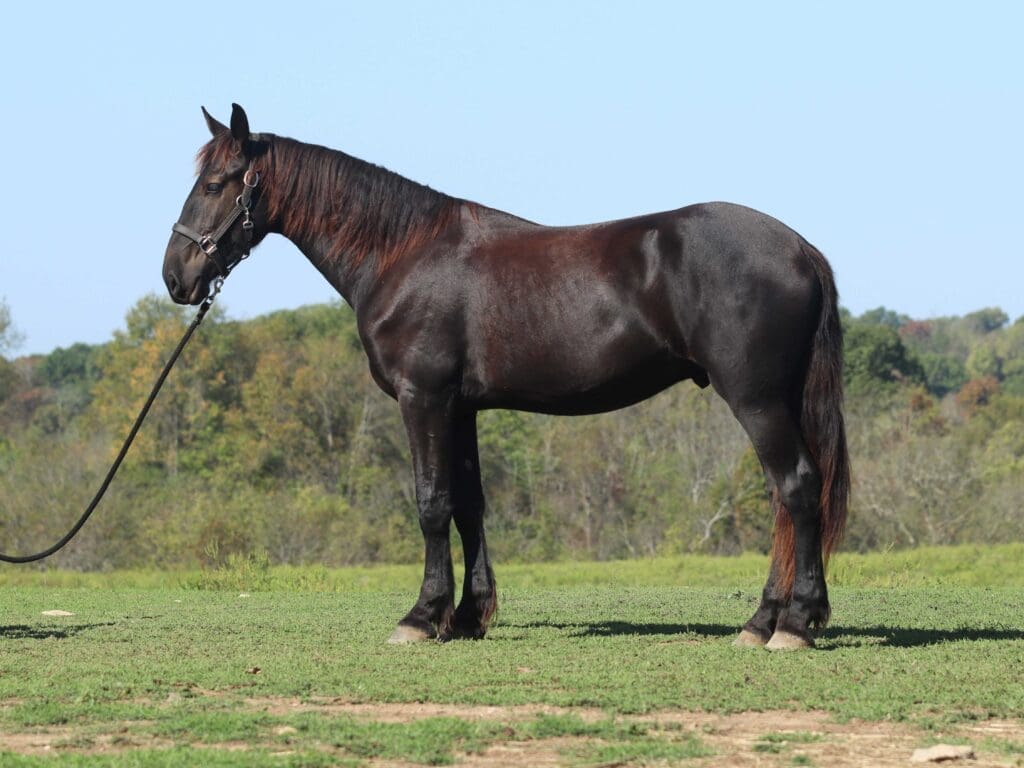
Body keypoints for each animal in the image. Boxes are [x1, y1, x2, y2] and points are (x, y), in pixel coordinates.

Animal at [164, 104, 849, 650]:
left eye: (217, 182)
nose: (176, 277)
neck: (403, 253)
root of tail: (799, 248)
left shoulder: (423, 398)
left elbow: (432, 503)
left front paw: (421, 617)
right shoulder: (461, 407)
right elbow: (470, 506)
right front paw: (468, 616)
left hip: (756, 399)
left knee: (795, 486)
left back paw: (793, 625)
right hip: (777, 400)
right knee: (786, 498)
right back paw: (764, 621)